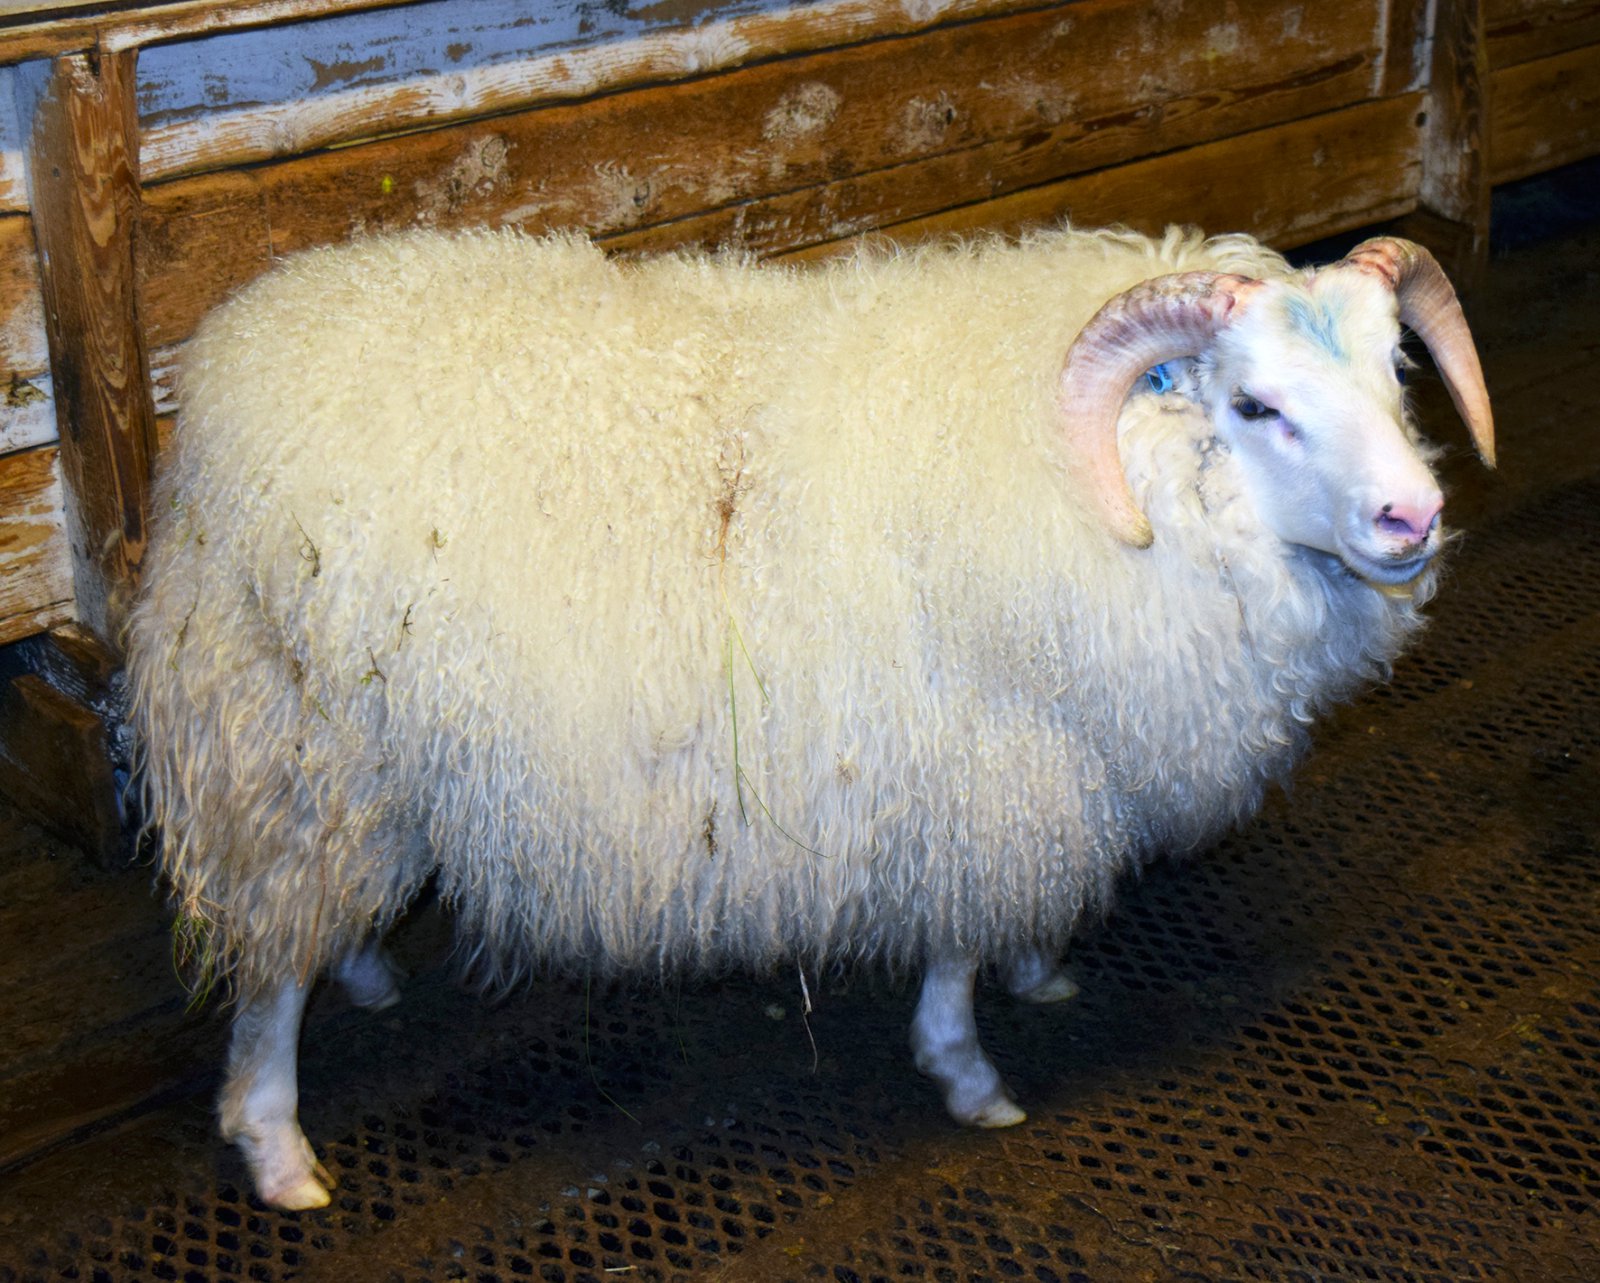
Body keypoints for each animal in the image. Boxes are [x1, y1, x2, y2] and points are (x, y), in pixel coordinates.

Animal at [124, 222, 1495, 1211]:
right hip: (295, 748)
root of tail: (232, 370)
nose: (1412, 518)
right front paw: (969, 1072)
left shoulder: (1054, 765)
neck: (1108, 473)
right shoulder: (975, 761)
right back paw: (277, 1148)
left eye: (1393, 369)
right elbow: (955, 948)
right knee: (267, 970)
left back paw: (362, 970)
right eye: (1255, 405)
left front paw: (1040, 966)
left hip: (352, 769)